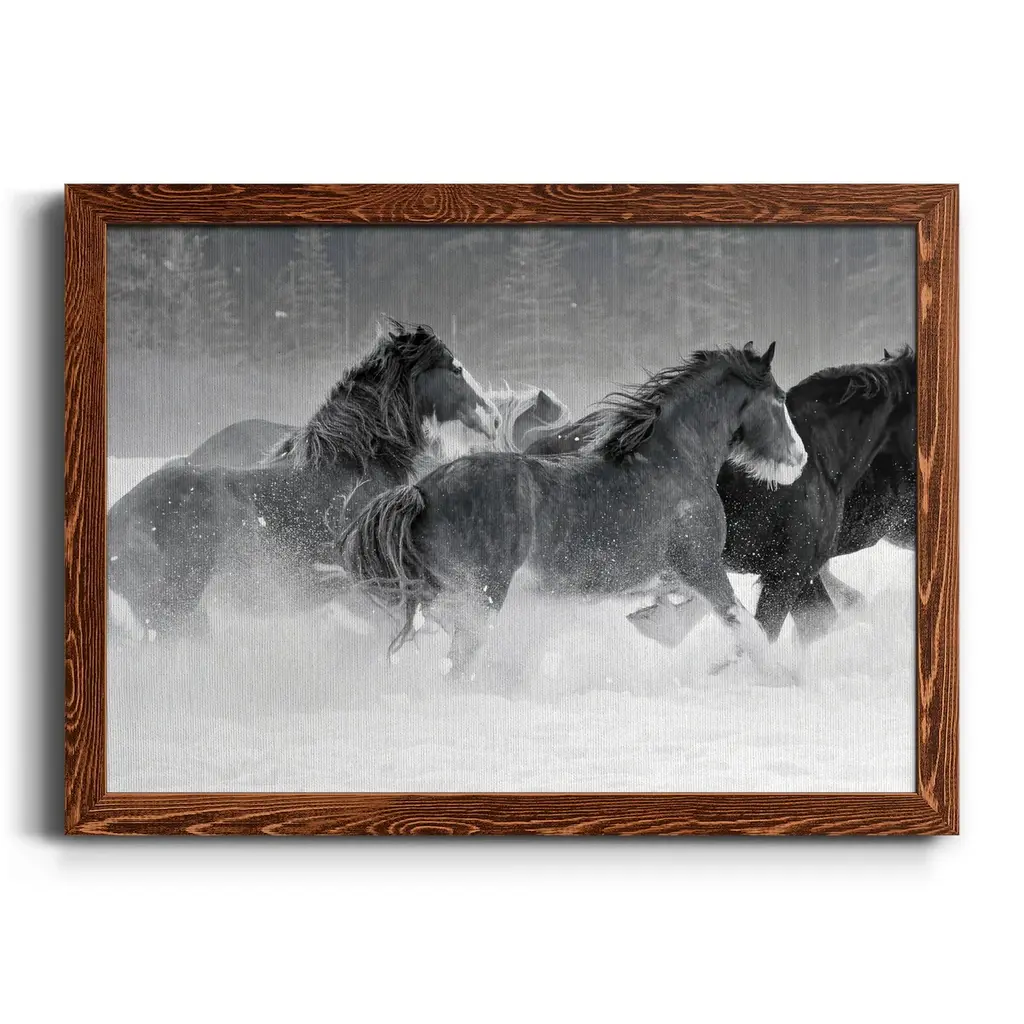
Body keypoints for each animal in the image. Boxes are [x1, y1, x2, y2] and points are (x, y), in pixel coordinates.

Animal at [335, 343, 807, 680]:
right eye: (779, 398)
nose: (800, 457)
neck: (674, 462)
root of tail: (420, 491)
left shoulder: (676, 573)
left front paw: (657, 624)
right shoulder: (701, 565)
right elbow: (746, 626)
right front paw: (785, 679)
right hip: (482, 597)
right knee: (456, 664)